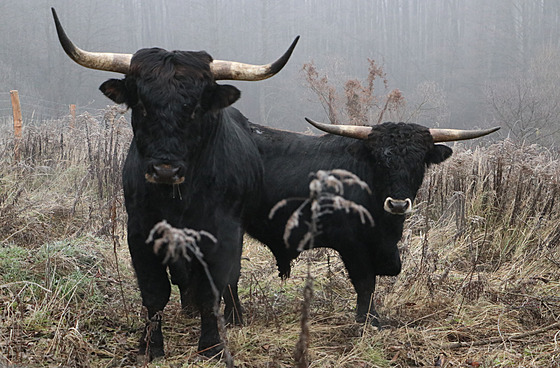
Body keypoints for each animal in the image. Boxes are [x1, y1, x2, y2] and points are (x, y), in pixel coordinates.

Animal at [50, 7, 300, 360]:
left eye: (194, 108)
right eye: (141, 104)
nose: (165, 169)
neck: (178, 199)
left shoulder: (222, 232)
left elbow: (214, 287)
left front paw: (212, 345)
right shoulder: (140, 231)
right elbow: (155, 292)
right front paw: (149, 346)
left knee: (230, 279)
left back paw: (234, 316)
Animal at [229, 119, 498, 326]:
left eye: (418, 161)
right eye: (379, 160)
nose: (398, 205)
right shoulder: (352, 244)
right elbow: (365, 282)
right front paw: (368, 319)